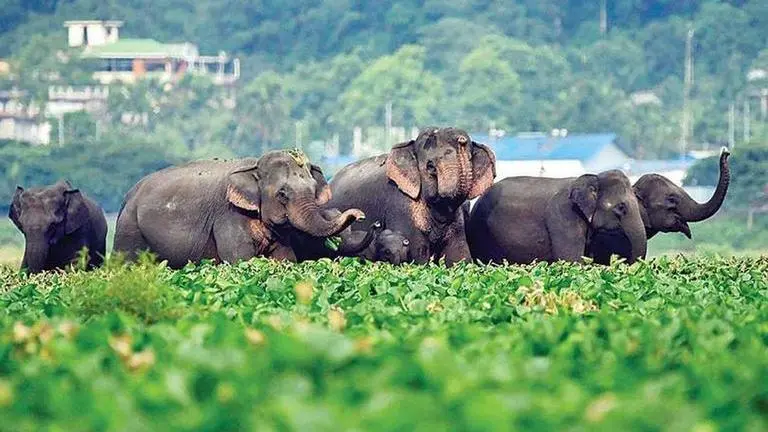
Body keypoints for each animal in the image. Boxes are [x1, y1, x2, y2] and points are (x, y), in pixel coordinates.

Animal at [113, 150, 365, 268]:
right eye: (282, 194)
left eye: (313, 190)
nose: (361, 215)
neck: (253, 166)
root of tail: (128, 195)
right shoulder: (227, 215)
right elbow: (240, 260)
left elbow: (285, 258)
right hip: (129, 228)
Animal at [327, 127, 496, 265]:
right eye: (430, 167)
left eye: (470, 160)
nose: (461, 139)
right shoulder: (400, 202)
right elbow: (418, 256)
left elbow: (459, 257)